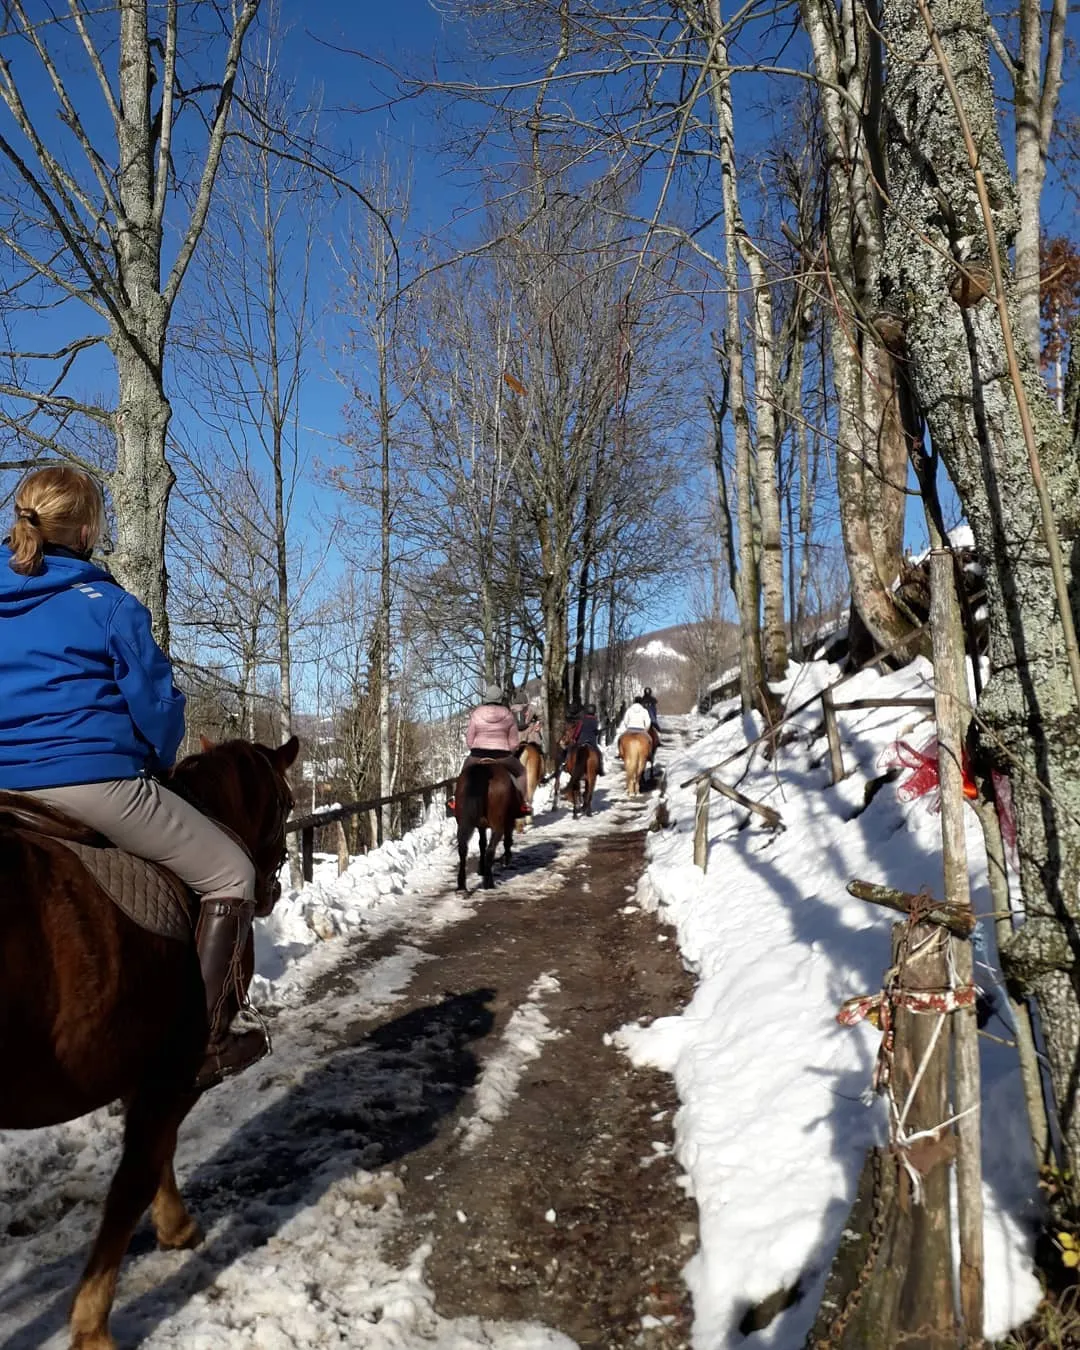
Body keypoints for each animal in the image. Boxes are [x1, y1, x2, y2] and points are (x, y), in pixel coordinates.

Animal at [0, 735, 298, 1350]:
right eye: (285, 803)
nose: (269, 892)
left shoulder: (142, 1066)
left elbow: (153, 1157)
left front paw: (173, 1225)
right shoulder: (176, 1069)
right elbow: (136, 1176)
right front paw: (93, 1326)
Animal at [454, 758, 520, 891]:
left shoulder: (481, 826)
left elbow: (481, 844)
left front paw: (481, 868)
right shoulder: (509, 821)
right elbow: (507, 841)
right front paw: (507, 859)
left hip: (463, 822)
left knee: (463, 849)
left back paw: (462, 884)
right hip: (498, 825)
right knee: (491, 850)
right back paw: (489, 883)